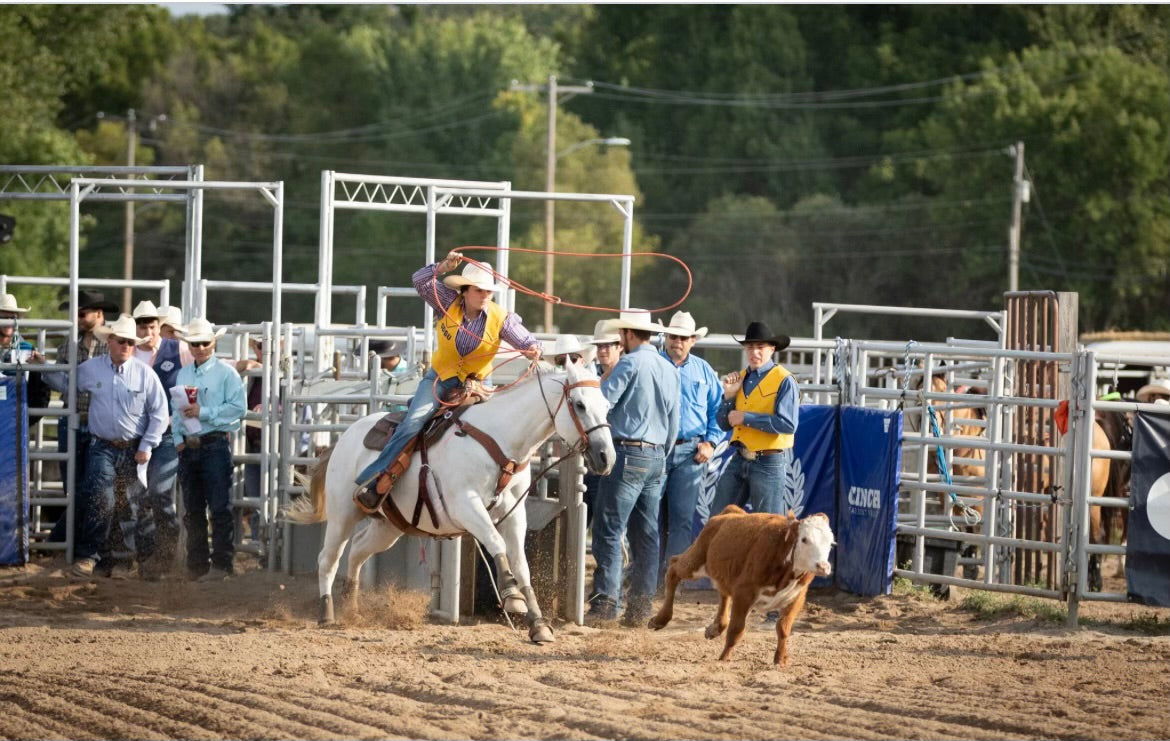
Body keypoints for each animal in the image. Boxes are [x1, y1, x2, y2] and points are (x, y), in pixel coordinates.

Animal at [285, 358, 613, 641]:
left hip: (388, 526)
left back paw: (351, 609)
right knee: (329, 558)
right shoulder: (465, 506)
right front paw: (512, 597)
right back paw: (327, 614)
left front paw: (538, 625)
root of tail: (345, 436)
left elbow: (521, 564)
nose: (606, 457)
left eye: (607, 406)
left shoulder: (515, 512)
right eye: (580, 404)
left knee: (357, 551)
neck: (500, 440)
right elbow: (495, 543)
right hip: (343, 513)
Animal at [650, 505, 833, 660]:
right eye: (804, 539)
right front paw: (723, 660)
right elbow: (736, 630)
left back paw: (716, 627)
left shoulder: (797, 598)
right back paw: (660, 619)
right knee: (674, 567)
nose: (823, 566)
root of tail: (731, 512)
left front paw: (780, 661)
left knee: (723, 592)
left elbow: (783, 628)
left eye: (830, 543)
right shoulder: (744, 592)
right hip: (696, 560)